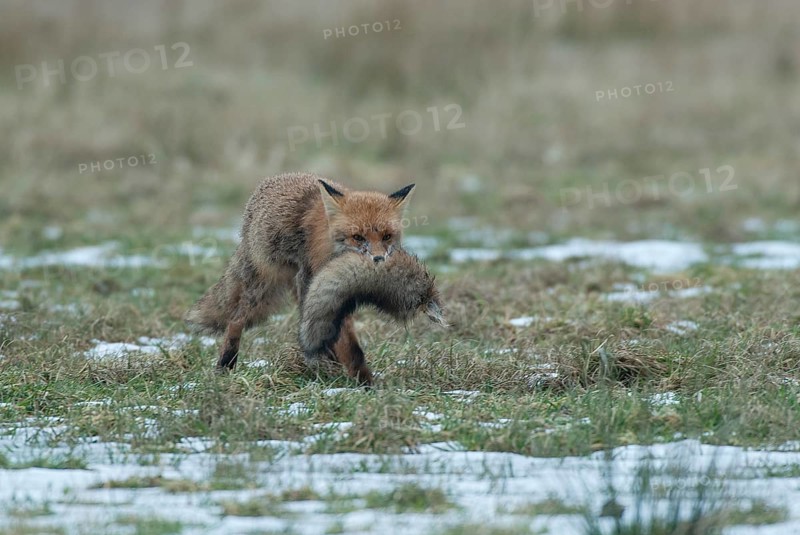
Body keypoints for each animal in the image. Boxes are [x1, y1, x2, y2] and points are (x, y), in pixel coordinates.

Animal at [185, 172, 416, 385]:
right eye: (358, 237)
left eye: (387, 236)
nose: (378, 259)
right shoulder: (319, 284)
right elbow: (347, 341)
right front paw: (364, 380)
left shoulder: (337, 290)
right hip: (262, 287)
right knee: (236, 319)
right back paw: (226, 364)